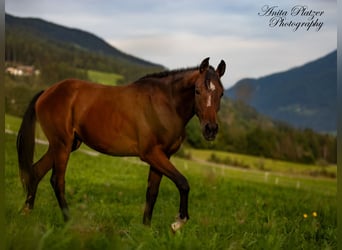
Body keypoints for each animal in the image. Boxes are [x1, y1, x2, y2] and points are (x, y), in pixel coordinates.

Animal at [16, 57, 226, 232]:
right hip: (62, 145)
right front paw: (178, 222)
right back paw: (68, 221)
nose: (210, 129)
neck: (165, 104)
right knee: (57, 181)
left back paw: (27, 213)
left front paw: (146, 230)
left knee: (36, 172)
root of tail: (47, 92)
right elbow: (183, 183)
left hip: (65, 144)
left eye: (221, 93)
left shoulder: (162, 157)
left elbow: (152, 193)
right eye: (197, 90)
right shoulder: (151, 154)